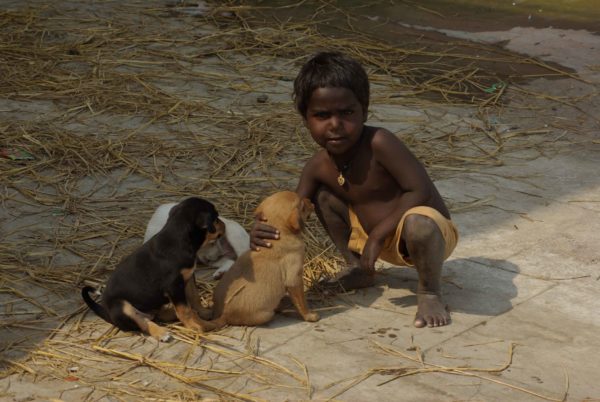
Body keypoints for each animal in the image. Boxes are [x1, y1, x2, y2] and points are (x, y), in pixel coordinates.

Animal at [81, 196, 224, 340]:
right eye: (216, 218)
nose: (224, 225)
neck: (178, 240)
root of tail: (107, 313)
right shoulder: (174, 286)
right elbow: (185, 310)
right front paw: (194, 326)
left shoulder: (188, 277)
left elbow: (194, 297)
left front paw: (203, 313)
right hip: (122, 306)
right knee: (143, 322)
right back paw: (161, 333)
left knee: (158, 316)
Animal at [212, 190, 322, 328]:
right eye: (303, 205)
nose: (311, 201)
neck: (279, 237)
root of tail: (223, 315)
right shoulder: (294, 279)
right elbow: (302, 303)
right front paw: (310, 316)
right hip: (266, 314)